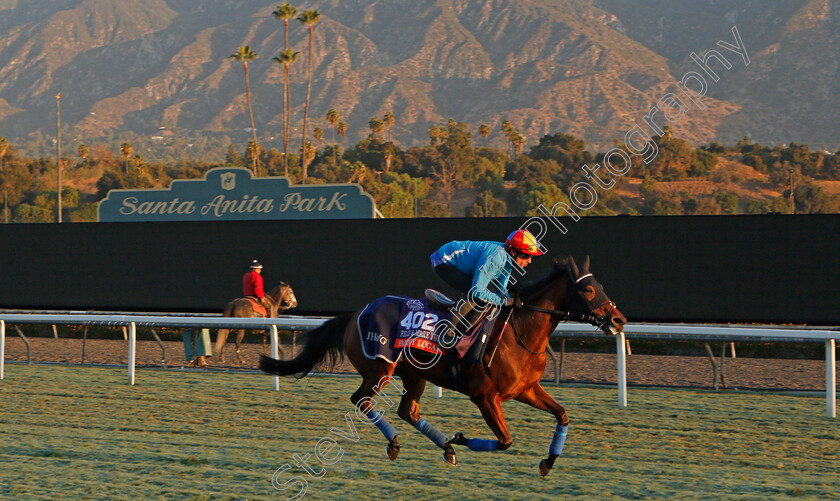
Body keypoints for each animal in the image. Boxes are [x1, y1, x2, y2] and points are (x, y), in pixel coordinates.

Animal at [262, 258, 624, 476]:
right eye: (588, 288)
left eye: (602, 285)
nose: (618, 320)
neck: (520, 331)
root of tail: (355, 314)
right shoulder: (484, 396)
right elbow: (505, 441)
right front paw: (461, 437)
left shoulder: (526, 390)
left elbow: (562, 415)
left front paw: (548, 462)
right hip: (380, 370)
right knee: (361, 401)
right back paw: (398, 444)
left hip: (415, 375)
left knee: (408, 411)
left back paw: (444, 448)